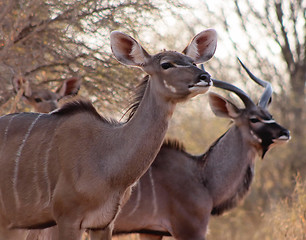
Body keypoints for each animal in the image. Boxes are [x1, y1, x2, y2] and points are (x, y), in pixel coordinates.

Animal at [109, 59, 290, 239]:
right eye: (254, 119)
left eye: (270, 116)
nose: (285, 133)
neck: (202, 177)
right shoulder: (190, 228)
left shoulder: (150, 231)